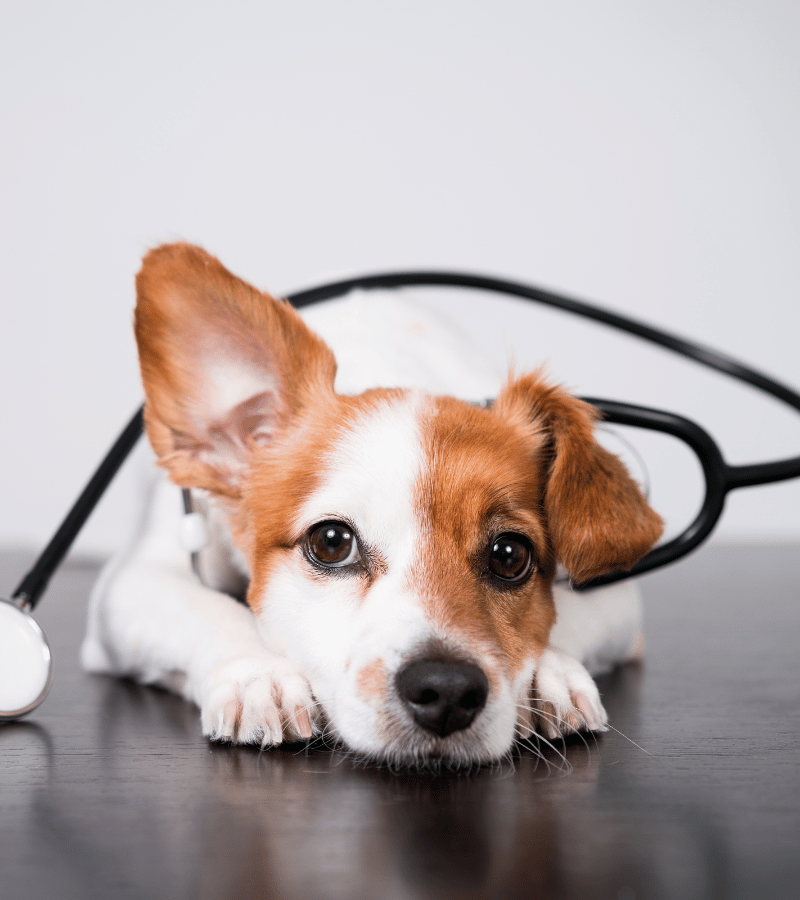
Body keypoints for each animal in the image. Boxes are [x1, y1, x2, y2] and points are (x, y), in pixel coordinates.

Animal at [83, 241, 664, 768]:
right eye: (330, 542)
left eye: (510, 555)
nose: (446, 690)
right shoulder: (133, 583)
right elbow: (208, 610)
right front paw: (259, 673)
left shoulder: (617, 597)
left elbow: (569, 615)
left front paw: (549, 673)